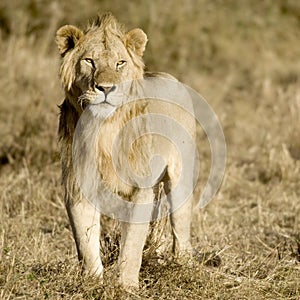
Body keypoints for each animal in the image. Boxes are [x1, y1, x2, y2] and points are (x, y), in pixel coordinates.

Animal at [55, 12, 198, 288]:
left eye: (120, 63)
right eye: (89, 61)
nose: (106, 88)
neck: (104, 128)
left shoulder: (140, 189)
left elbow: (132, 244)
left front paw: (127, 287)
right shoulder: (78, 185)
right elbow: (86, 243)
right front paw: (93, 284)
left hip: (180, 177)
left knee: (181, 227)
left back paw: (184, 267)